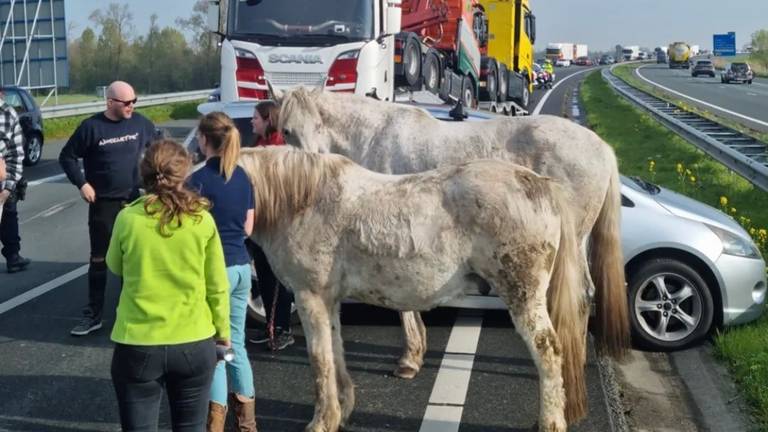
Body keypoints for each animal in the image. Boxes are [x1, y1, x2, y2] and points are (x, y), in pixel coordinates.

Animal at [240, 147, 588, 430]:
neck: (304, 202)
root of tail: (540, 183)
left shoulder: (309, 297)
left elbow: (319, 359)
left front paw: (322, 422)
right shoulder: (329, 301)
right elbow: (335, 352)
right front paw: (343, 411)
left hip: (524, 298)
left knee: (548, 352)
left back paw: (550, 423)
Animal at [272, 87, 632, 412]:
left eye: (318, 124)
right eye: (287, 130)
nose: (309, 167)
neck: (374, 135)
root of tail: (603, 148)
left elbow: (403, 306)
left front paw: (409, 360)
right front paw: (415, 352)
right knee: (585, 294)